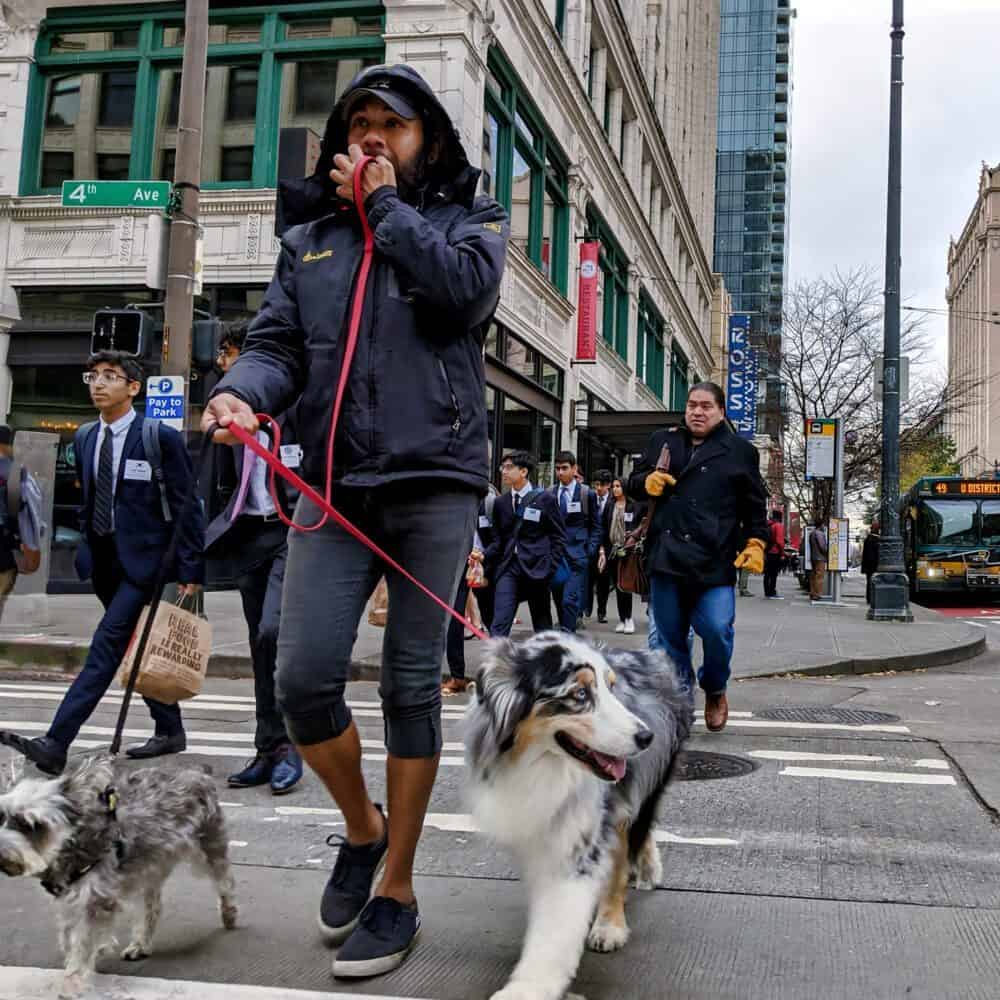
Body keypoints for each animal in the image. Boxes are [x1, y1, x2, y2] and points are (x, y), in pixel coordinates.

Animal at [0, 752, 237, 996]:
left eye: (31, 824)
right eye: (1, 816)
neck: (71, 844)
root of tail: (198, 771)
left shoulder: (96, 901)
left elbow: (82, 942)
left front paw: (73, 980)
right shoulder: (72, 898)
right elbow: (69, 935)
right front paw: (90, 952)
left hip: (208, 848)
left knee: (225, 881)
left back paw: (229, 912)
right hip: (149, 866)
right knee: (151, 907)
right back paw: (141, 943)